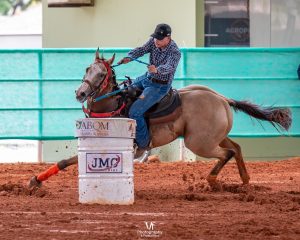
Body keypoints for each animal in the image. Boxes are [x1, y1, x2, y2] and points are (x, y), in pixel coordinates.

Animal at [27, 49, 290, 189]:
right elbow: (65, 162)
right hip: (215, 136)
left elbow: (72, 161)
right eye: (87, 69)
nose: (80, 93)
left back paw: (213, 181)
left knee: (228, 153)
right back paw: (245, 182)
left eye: (102, 74)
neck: (114, 104)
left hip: (200, 143)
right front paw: (34, 181)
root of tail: (222, 98)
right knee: (236, 148)